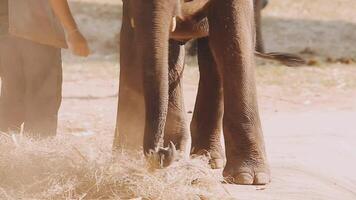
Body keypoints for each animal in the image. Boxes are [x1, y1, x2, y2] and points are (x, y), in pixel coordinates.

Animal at [114, 0, 286, 185]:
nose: (163, 150)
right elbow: (130, 42)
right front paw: (125, 160)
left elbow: (235, 37)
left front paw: (249, 178)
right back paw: (185, 153)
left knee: (211, 56)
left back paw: (206, 158)